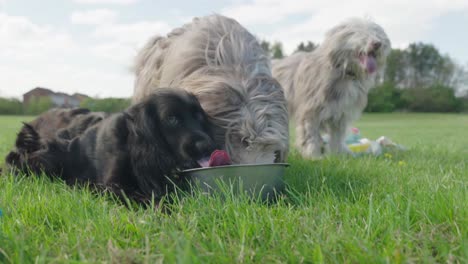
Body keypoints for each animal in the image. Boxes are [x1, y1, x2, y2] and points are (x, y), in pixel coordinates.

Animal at [5, 88, 216, 202]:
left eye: (199, 116)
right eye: (172, 119)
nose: (207, 145)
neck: (132, 143)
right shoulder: (111, 186)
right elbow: (151, 198)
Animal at [272, 18, 390, 160]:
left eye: (377, 33)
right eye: (357, 32)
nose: (377, 43)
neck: (344, 71)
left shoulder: (339, 114)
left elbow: (337, 138)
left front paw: (338, 155)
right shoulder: (311, 112)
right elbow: (310, 136)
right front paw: (314, 156)